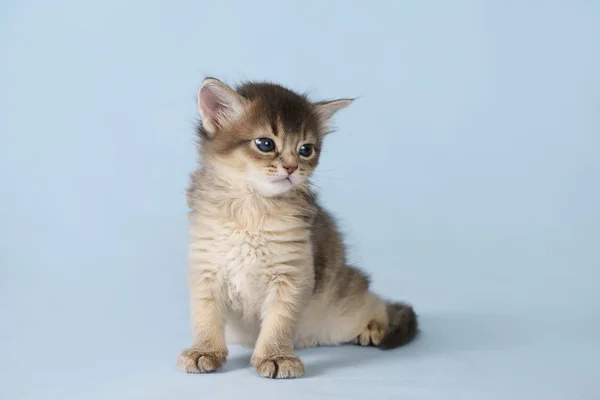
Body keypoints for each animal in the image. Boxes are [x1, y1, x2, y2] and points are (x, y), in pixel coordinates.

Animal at [176, 77, 414, 378]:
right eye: (265, 144)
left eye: (306, 149)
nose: (291, 167)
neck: (252, 208)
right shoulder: (206, 268)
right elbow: (205, 316)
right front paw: (204, 351)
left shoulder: (292, 274)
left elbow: (279, 322)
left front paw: (276, 356)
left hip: (342, 309)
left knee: (375, 301)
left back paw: (374, 327)